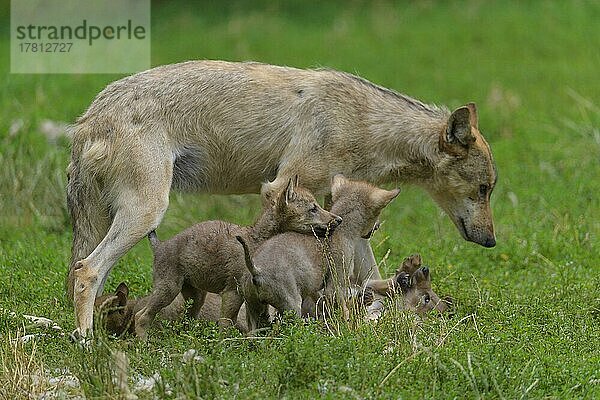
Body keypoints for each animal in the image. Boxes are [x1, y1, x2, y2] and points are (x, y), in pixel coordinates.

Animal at [67, 60, 496, 334]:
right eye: (484, 189)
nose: (492, 241)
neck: (364, 123)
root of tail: (87, 119)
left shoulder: (337, 214)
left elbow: (369, 271)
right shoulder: (280, 190)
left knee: (86, 277)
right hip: (147, 213)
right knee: (87, 272)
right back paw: (88, 343)